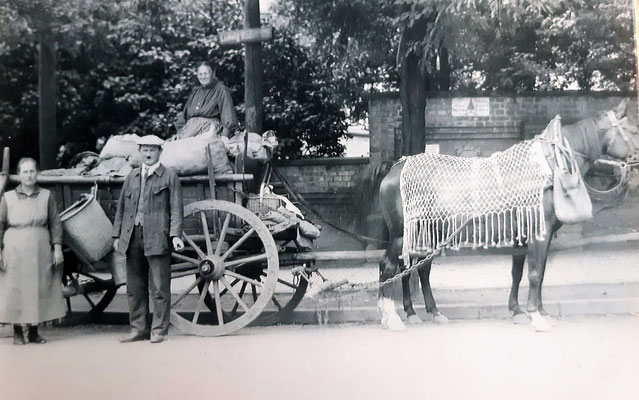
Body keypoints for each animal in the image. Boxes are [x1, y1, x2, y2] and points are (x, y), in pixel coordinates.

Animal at [364, 100, 639, 332]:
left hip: (427, 233)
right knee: (389, 266)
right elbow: (535, 273)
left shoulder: (525, 236)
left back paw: (424, 313)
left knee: (416, 268)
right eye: (634, 131)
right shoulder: (539, 234)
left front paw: (523, 311)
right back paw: (392, 317)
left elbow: (523, 272)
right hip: (402, 235)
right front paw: (536, 316)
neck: (549, 166)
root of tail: (396, 167)